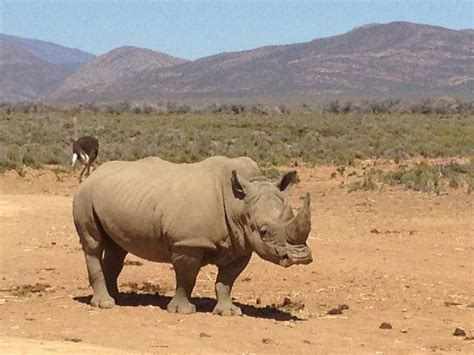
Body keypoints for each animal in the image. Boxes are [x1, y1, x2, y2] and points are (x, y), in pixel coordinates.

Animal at [73, 156, 312, 318]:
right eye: (264, 232)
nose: (301, 257)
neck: (238, 205)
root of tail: (93, 175)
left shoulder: (241, 244)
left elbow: (226, 281)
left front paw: (229, 312)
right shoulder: (187, 243)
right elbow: (187, 277)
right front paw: (183, 310)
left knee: (117, 249)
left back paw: (117, 297)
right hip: (85, 196)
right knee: (93, 245)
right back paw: (106, 304)